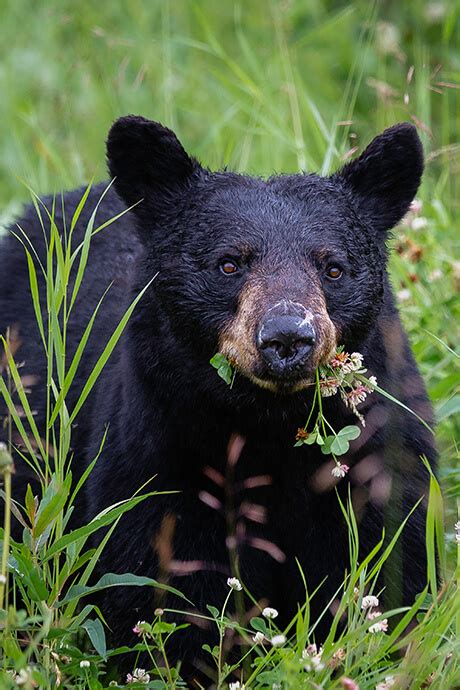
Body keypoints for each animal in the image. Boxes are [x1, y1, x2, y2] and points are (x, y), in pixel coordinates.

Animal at [0, 117, 434, 672]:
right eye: (229, 264)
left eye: (333, 268)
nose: (287, 337)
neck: (267, 425)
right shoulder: (159, 453)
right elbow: (163, 582)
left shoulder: (377, 455)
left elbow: (388, 565)